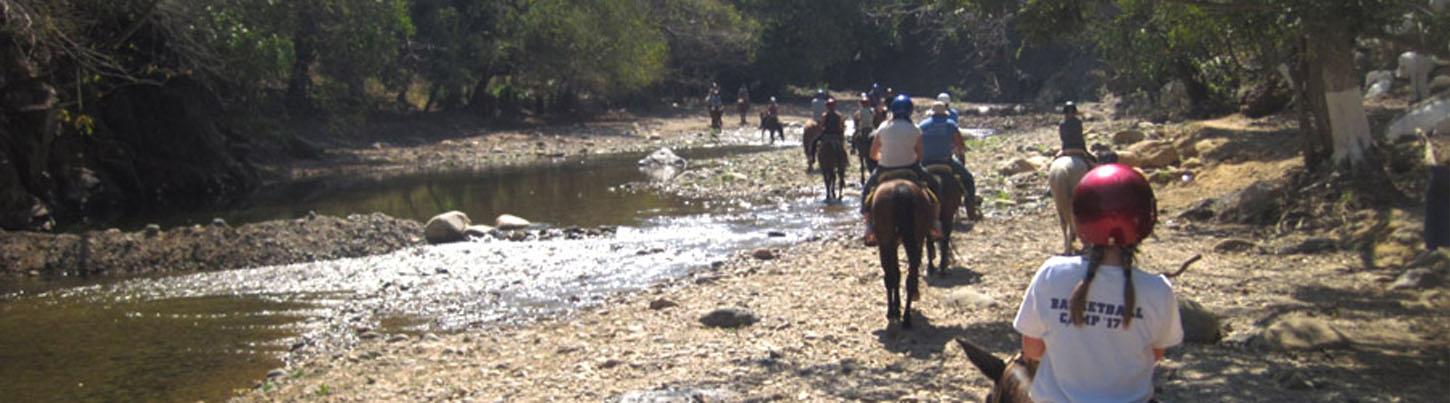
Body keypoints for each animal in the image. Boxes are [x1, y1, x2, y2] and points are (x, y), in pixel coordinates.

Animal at [870, 179, 933, 328]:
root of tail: (901, 188)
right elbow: (898, 274)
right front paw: (898, 306)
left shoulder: (889, 244)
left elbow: (894, 275)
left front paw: (895, 309)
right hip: (915, 240)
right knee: (910, 277)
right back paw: (907, 317)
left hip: (886, 242)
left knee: (889, 278)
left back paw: (892, 313)